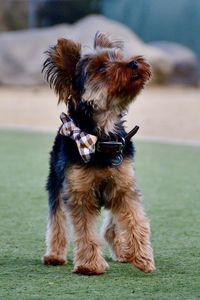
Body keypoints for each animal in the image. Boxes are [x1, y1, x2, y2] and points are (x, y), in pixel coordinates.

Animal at [41, 32, 155, 274]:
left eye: (119, 57)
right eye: (101, 68)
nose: (133, 62)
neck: (102, 134)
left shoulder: (124, 187)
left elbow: (136, 221)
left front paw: (143, 258)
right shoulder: (78, 192)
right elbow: (85, 232)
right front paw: (90, 265)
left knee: (112, 223)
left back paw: (123, 252)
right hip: (55, 182)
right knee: (57, 220)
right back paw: (54, 255)